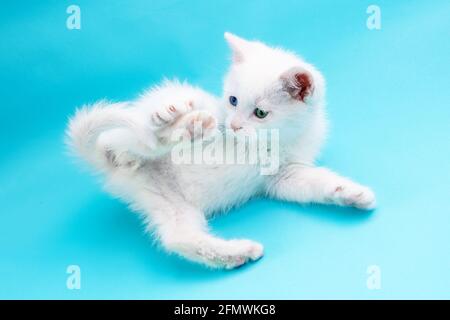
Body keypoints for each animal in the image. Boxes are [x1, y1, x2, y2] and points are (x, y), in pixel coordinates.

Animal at [67, 32, 376, 268]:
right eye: (232, 100)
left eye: (260, 113)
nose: (234, 125)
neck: (267, 143)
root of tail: (111, 161)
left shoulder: (283, 176)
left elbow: (314, 182)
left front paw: (351, 193)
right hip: (141, 131)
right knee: (141, 138)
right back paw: (177, 123)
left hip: (169, 204)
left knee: (179, 238)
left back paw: (237, 253)